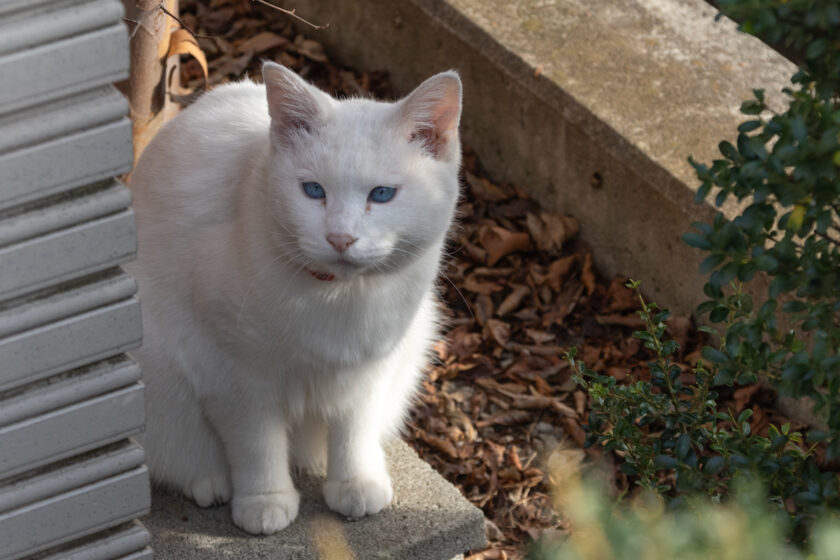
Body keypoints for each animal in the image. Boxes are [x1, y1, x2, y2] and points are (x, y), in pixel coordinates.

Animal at [126, 61, 460, 532]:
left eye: (381, 195)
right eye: (313, 190)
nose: (341, 238)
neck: (337, 297)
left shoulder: (370, 367)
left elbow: (355, 429)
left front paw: (355, 482)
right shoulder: (233, 375)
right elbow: (256, 443)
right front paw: (264, 500)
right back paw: (209, 482)